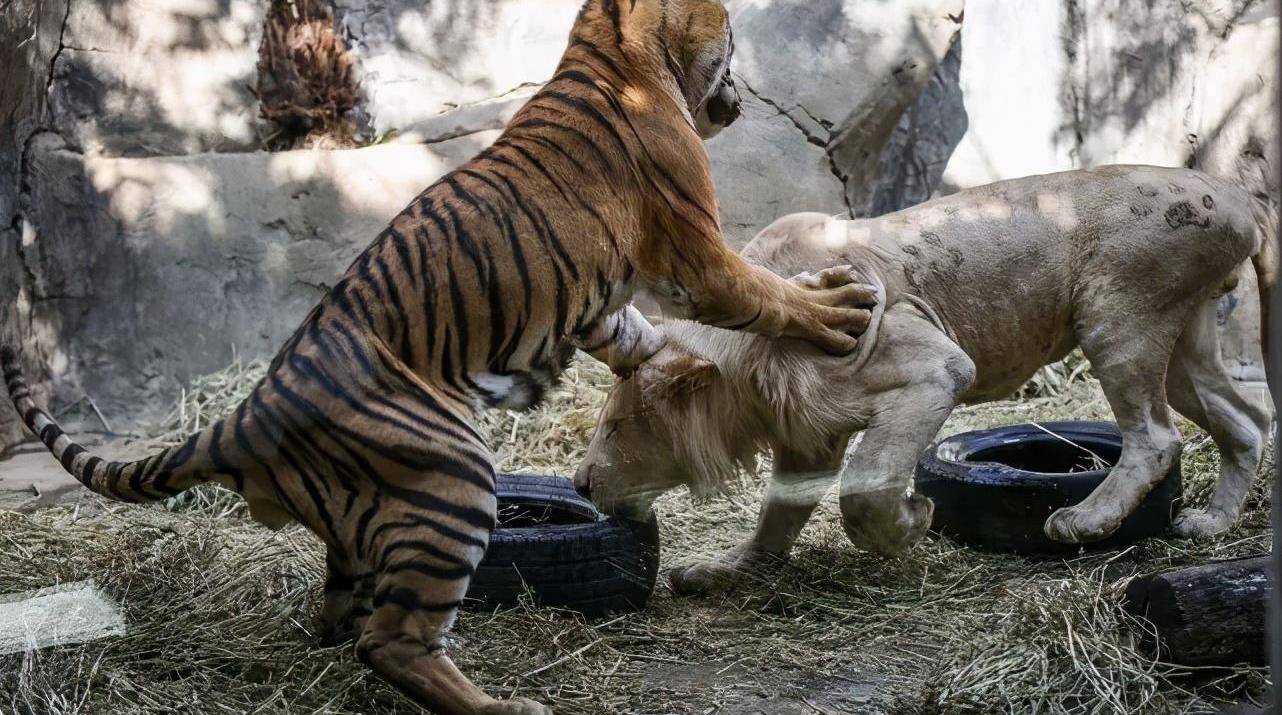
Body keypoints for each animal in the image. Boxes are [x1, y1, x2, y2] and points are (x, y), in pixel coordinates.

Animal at [0, 1, 876, 715]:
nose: (743, 87)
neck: (612, 50)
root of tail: (244, 413)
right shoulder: (696, 254)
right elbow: (765, 294)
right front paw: (839, 309)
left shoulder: (601, 300)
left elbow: (635, 335)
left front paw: (670, 366)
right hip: (453, 481)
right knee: (390, 642)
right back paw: (505, 707)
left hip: (361, 529)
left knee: (340, 618)